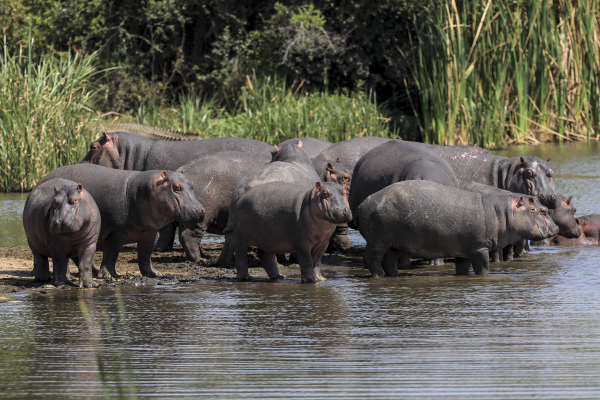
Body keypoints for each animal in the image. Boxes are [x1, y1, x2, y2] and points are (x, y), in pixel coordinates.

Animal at [39, 164, 205, 280]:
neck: (145, 190)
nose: (200, 210)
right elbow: (111, 254)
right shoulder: (117, 232)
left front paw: (155, 274)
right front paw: (109, 275)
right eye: (176, 187)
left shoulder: (149, 233)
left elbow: (145, 255)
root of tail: (42, 179)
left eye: (192, 185)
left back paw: (93, 271)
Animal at [356, 180, 556, 276]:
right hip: (377, 241)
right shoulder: (479, 248)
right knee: (371, 259)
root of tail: (362, 204)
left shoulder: (464, 251)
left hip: (391, 244)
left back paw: (393, 276)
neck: (503, 212)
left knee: (389, 261)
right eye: (537, 210)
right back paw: (379, 276)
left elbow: (462, 269)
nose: (555, 228)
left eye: (543, 208)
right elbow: (483, 268)